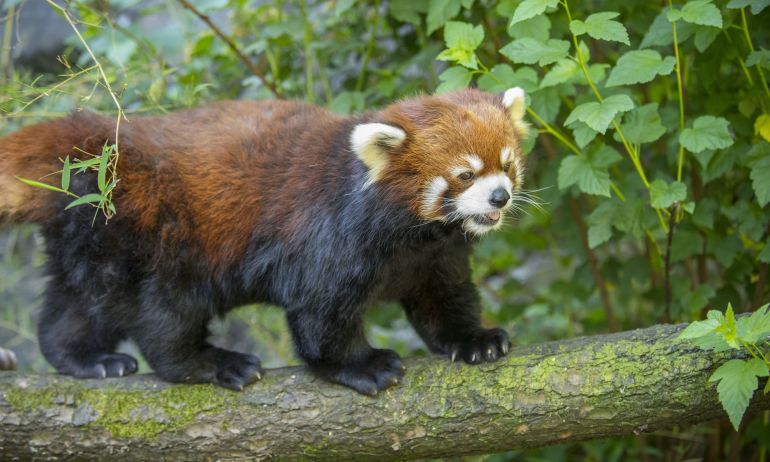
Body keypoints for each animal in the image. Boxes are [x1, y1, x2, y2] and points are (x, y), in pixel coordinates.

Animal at [0, 88, 528, 396]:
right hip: (154, 229)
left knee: (78, 301)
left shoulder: (435, 255)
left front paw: (474, 339)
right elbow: (320, 315)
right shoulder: (327, 236)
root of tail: (99, 138)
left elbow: (444, 299)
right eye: (465, 174)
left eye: (507, 163)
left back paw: (85, 359)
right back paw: (210, 363)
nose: (500, 196)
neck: (412, 235)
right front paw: (363, 365)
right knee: (162, 311)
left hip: (92, 231)